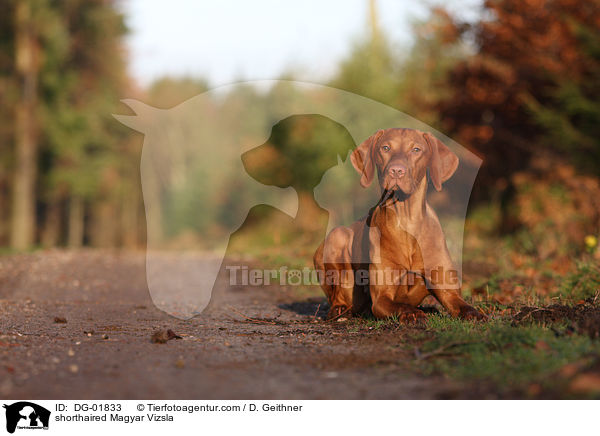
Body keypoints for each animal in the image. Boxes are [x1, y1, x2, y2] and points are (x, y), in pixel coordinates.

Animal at [312, 127, 486, 322]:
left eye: (416, 149)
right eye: (385, 148)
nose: (396, 171)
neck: (407, 220)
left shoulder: (449, 292)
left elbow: (464, 306)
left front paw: (476, 314)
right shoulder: (381, 298)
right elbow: (398, 306)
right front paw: (411, 312)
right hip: (337, 235)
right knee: (339, 295)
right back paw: (339, 310)